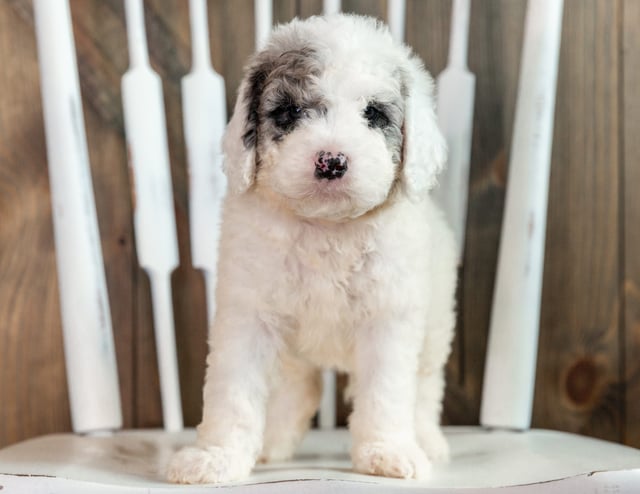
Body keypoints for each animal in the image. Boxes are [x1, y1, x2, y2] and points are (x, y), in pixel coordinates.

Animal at [168, 13, 458, 484]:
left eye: (374, 114)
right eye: (289, 113)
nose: (332, 161)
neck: (327, 227)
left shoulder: (390, 317)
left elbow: (387, 391)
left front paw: (387, 451)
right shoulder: (248, 315)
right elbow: (233, 392)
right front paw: (216, 456)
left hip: (435, 325)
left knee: (426, 386)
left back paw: (427, 441)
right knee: (297, 387)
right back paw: (275, 441)